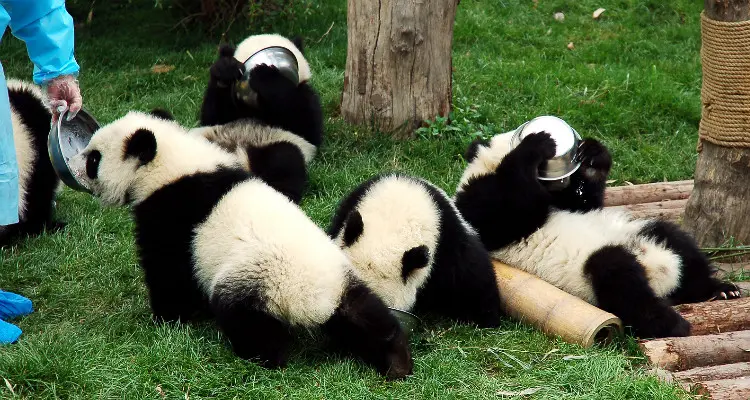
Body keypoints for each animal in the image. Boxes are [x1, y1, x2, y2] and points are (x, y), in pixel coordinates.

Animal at [453, 130, 740, 338]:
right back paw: (670, 324)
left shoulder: (565, 200)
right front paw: (535, 144)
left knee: (676, 241)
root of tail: (659, 272)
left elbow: (584, 203)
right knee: (619, 280)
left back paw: (719, 290)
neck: (488, 166)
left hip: (639, 232)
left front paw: (592, 156)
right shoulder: (480, 206)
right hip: (585, 275)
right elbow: (508, 211)